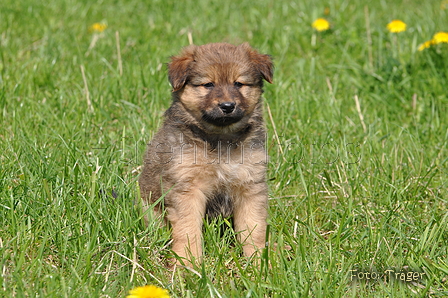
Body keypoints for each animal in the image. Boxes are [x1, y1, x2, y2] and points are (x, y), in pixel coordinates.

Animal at [139, 41, 272, 266]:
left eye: (239, 84)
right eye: (208, 84)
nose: (227, 106)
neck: (221, 140)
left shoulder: (250, 186)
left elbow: (253, 228)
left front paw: (258, 261)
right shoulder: (187, 188)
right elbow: (188, 230)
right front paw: (187, 264)